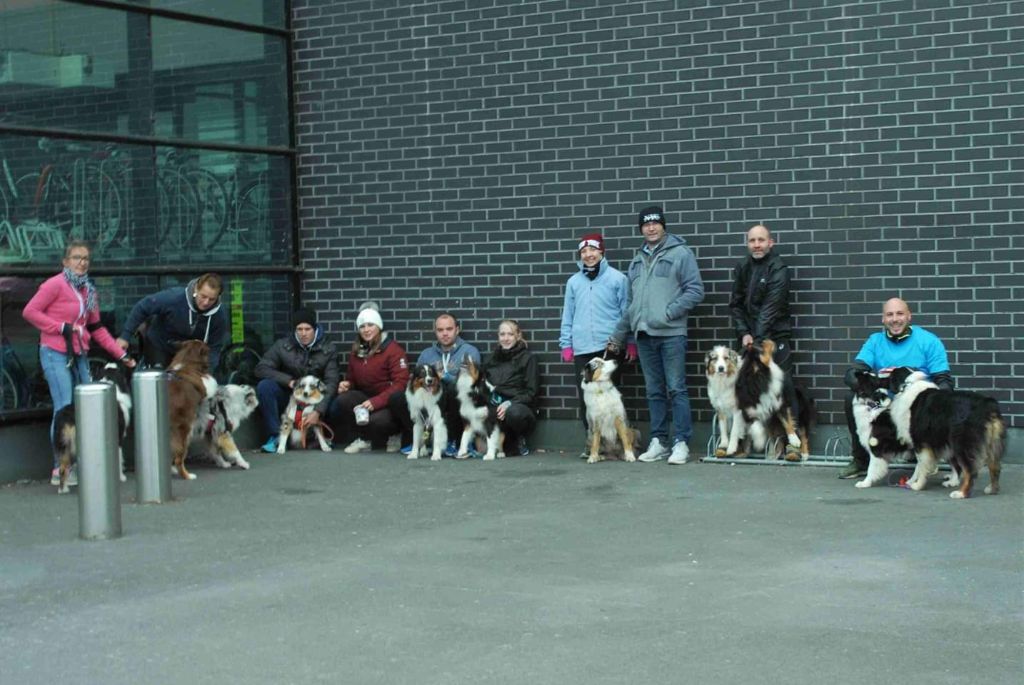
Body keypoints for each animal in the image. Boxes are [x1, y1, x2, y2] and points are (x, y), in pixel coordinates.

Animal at [52, 360, 132, 493]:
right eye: (121, 369)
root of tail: (65, 416)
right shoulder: (118, 436)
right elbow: (119, 457)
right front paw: (121, 477)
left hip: (63, 443)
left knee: (62, 467)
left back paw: (64, 489)